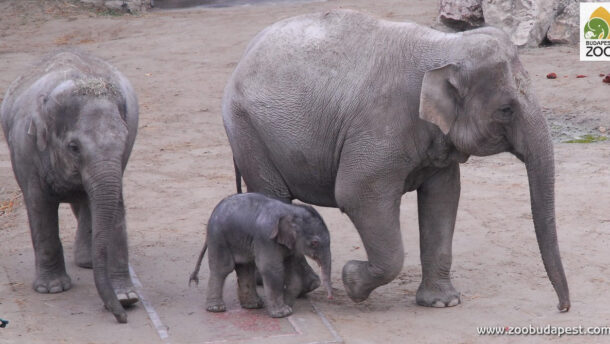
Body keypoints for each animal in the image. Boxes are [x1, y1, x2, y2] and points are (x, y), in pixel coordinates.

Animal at [1, 49, 139, 324]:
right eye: (74, 147)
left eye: (124, 140)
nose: (122, 318)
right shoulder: (26, 153)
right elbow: (39, 207)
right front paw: (52, 289)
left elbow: (115, 208)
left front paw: (126, 297)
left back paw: (88, 263)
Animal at [190, 194, 332, 318]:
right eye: (315, 243)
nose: (329, 297)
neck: (290, 209)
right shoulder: (266, 238)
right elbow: (272, 269)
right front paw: (283, 313)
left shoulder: (290, 244)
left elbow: (292, 271)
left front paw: (288, 306)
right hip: (218, 238)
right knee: (223, 268)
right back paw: (216, 308)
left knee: (245, 267)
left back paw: (253, 305)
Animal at [221, 10, 568, 312]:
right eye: (507, 110)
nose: (562, 307)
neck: (445, 46)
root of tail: (244, 56)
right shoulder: (379, 127)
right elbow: (357, 194)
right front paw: (352, 281)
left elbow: (444, 196)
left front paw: (443, 303)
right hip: (249, 133)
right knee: (275, 198)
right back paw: (303, 287)